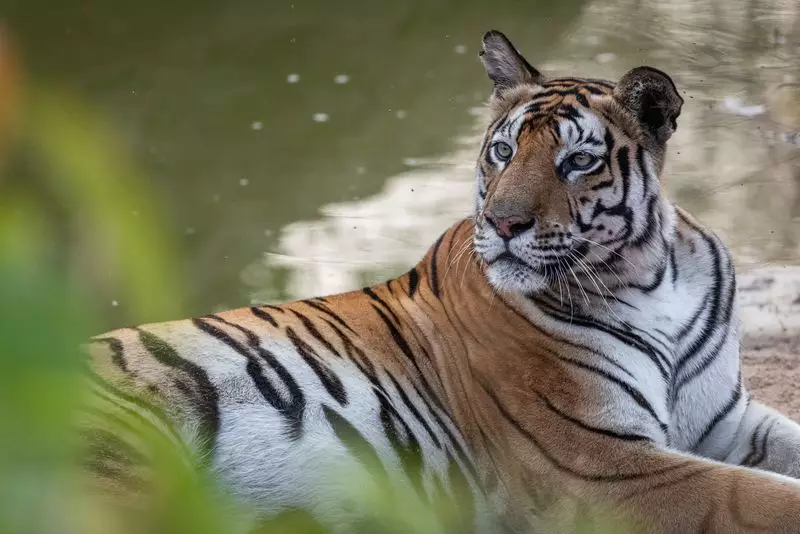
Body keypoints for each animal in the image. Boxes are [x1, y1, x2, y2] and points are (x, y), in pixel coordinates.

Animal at [82, 29, 800, 534]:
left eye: (577, 162)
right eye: (503, 152)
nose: (504, 222)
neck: (652, 276)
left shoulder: (724, 421)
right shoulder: (597, 465)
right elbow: (755, 498)